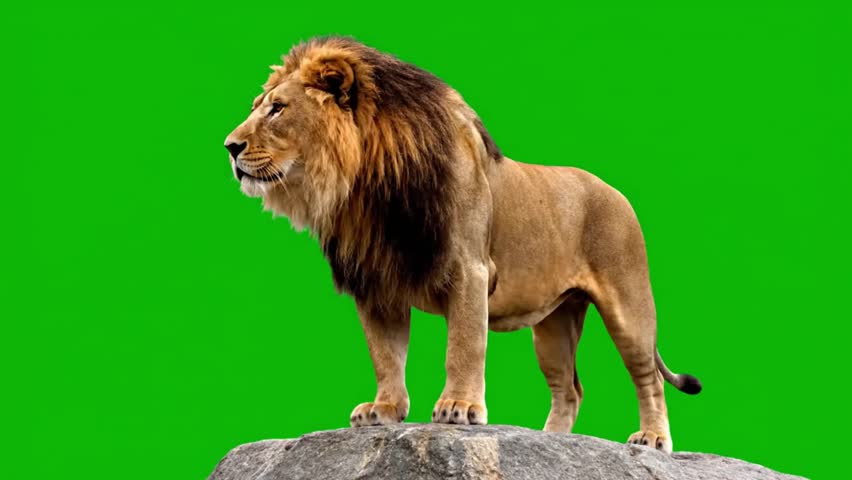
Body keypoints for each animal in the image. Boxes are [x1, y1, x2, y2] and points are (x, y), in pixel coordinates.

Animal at [224, 36, 702, 452]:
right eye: (258, 108)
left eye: (277, 109)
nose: (230, 146)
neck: (365, 185)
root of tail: (615, 191)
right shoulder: (376, 282)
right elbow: (386, 354)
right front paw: (384, 408)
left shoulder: (469, 270)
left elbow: (464, 344)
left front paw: (459, 407)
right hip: (554, 323)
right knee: (569, 388)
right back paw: (551, 441)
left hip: (628, 304)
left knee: (648, 378)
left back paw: (652, 439)